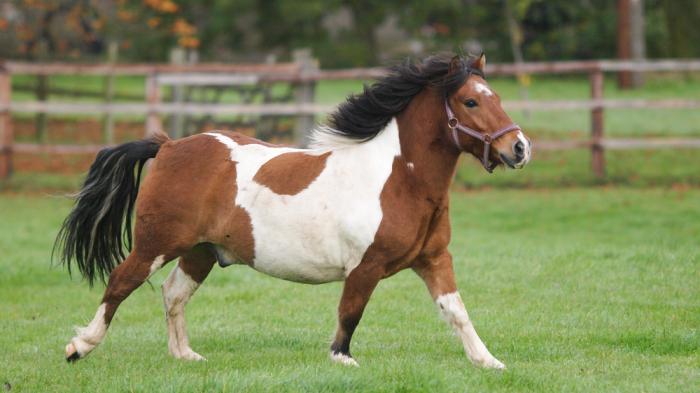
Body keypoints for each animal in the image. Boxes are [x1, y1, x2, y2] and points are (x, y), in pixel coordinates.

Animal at [54, 53, 532, 370]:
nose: (519, 148)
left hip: (200, 251)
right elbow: (350, 314)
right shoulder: (365, 266)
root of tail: (170, 145)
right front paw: (342, 360)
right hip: (157, 243)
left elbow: (456, 311)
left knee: (173, 293)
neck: (399, 179)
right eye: (471, 102)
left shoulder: (434, 260)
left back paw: (185, 355)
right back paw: (80, 347)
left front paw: (488, 362)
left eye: (496, 96)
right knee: (120, 282)